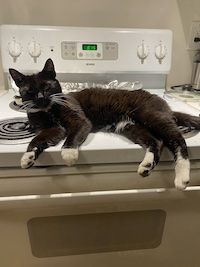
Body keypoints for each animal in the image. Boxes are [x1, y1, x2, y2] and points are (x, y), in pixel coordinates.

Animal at [9, 59, 200, 191]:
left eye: (47, 88)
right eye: (30, 92)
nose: (41, 98)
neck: (48, 110)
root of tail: (163, 102)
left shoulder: (79, 119)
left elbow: (72, 135)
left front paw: (69, 154)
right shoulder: (52, 129)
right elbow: (37, 139)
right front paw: (27, 157)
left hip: (151, 116)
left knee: (177, 139)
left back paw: (182, 177)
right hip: (130, 126)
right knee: (157, 142)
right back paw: (146, 166)